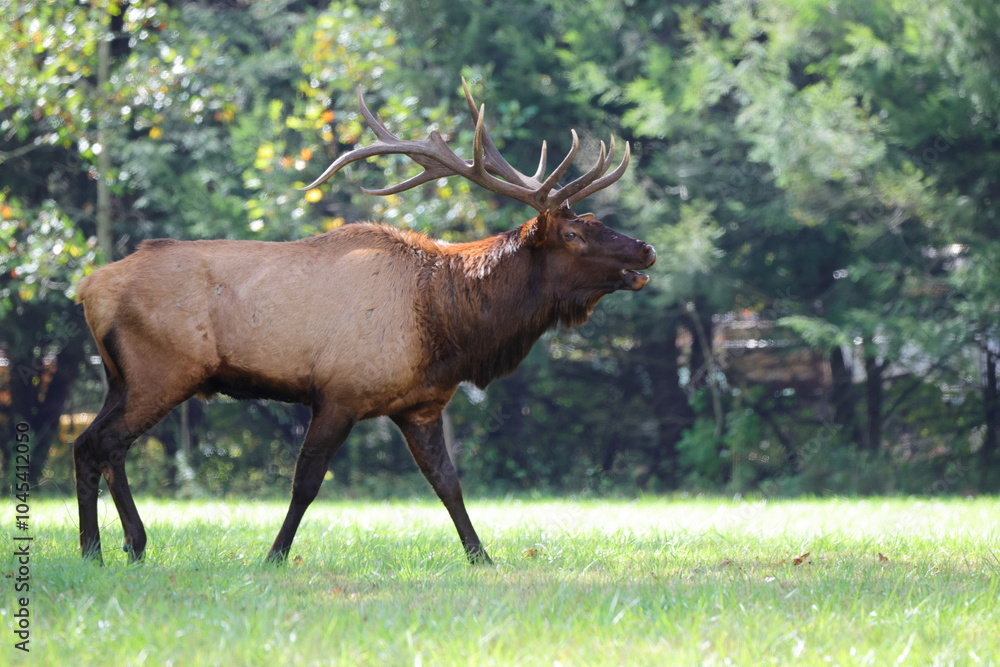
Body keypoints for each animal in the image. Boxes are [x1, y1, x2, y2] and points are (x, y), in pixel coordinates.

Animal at [73, 80, 656, 565]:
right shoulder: (340, 391)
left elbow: (447, 483)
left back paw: (106, 548)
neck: (449, 326)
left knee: (86, 442)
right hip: (164, 370)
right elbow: (306, 481)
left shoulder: (420, 404)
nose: (646, 249)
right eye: (575, 234)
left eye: (595, 220)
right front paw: (274, 556)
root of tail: (89, 288)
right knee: (107, 444)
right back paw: (117, 546)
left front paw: (482, 558)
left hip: (120, 378)